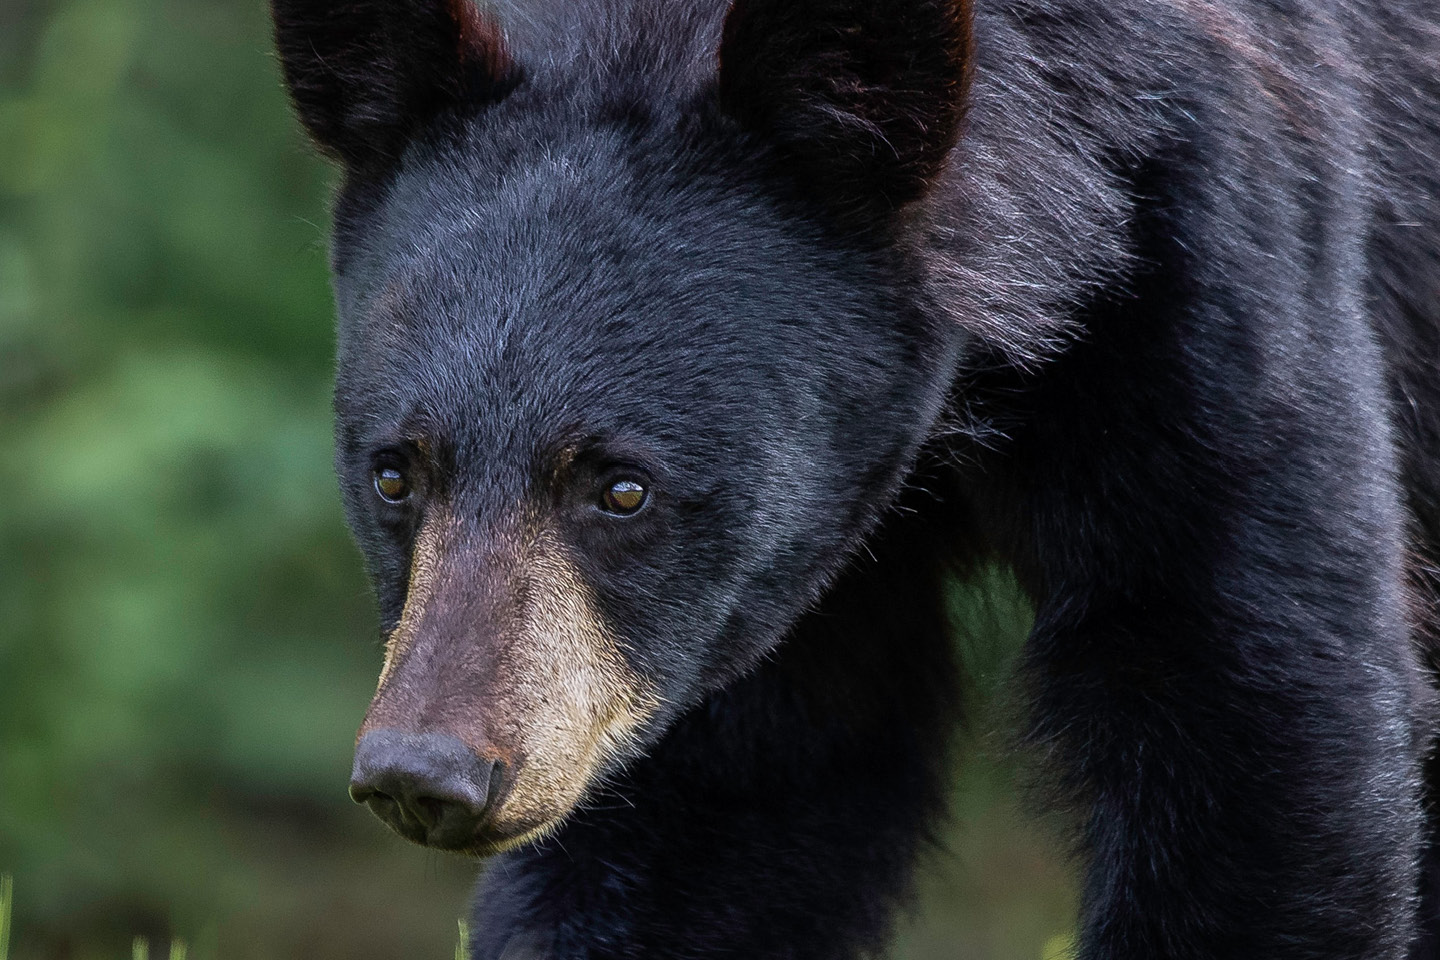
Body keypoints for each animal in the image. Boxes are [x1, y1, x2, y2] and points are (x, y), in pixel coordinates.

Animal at [267, 0, 1440, 955]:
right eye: (394, 475)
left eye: (622, 488)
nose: (427, 774)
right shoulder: (737, 597)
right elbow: (725, 810)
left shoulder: (1207, 263)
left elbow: (1257, 711)